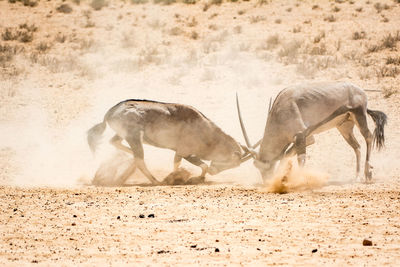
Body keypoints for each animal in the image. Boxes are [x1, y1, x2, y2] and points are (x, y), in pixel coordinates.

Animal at [88, 99, 252, 185]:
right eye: (231, 162)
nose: (214, 171)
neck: (207, 132)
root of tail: (110, 113)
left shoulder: (179, 152)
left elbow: (178, 164)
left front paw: (180, 177)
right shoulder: (185, 152)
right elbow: (201, 165)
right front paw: (183, 178)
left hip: (126, 136)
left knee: (116, 144)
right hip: (134, 137)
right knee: (140, 160)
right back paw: (156, 181)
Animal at [238, 80, 388, 183]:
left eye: (265, 166)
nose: (267, 181)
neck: (280, 110)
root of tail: (360, 90)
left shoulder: (301, 136)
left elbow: (300, 159)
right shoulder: (307, 138)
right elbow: (286, 155)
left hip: (359, 116)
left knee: (368, 136)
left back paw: (367, 173)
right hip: (345, 127)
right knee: (357, 146)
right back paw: (356, 177)